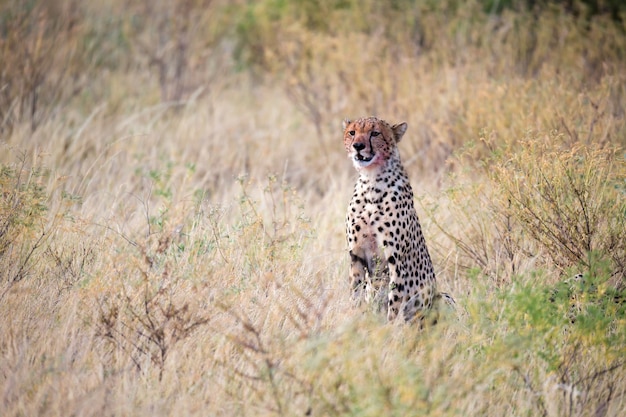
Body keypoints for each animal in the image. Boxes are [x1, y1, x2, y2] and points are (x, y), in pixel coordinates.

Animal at [342, 116, 448, 322]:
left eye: (375, 133)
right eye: (352, 132)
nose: (358, 146)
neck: (371, 182)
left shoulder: (396, 260)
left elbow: (395, 302)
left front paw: (391, 328)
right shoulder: (356, 255)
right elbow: (355, 293)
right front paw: (353, 320)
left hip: (441, 298)